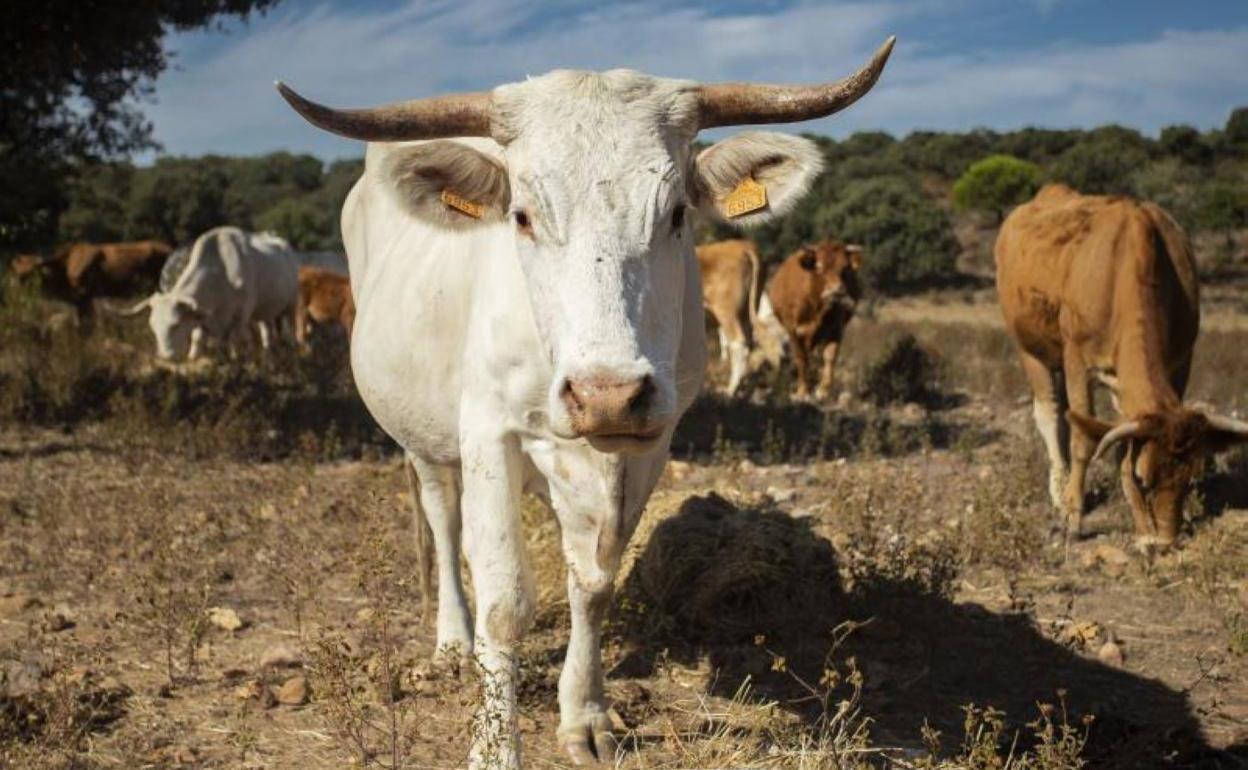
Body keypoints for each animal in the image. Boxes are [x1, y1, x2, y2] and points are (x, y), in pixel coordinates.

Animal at [763, 239, 863, 399]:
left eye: (845, 268)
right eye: (819, 267)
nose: (836, 290)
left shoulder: (836, 329)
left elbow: (830, 358)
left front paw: (823, 391)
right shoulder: (793, 330)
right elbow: (801, 358)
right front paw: (803, 390)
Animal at [993, 183, 1248, 549]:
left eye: (1191, 476)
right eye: (1145, 478)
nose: (1165, 541)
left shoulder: (1179, 363)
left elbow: (1116, 442)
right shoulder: (1077, 362)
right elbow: (1084, 441)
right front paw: (1073, 517)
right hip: (1030, 349)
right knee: (1050, 413)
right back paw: (1059, 490)